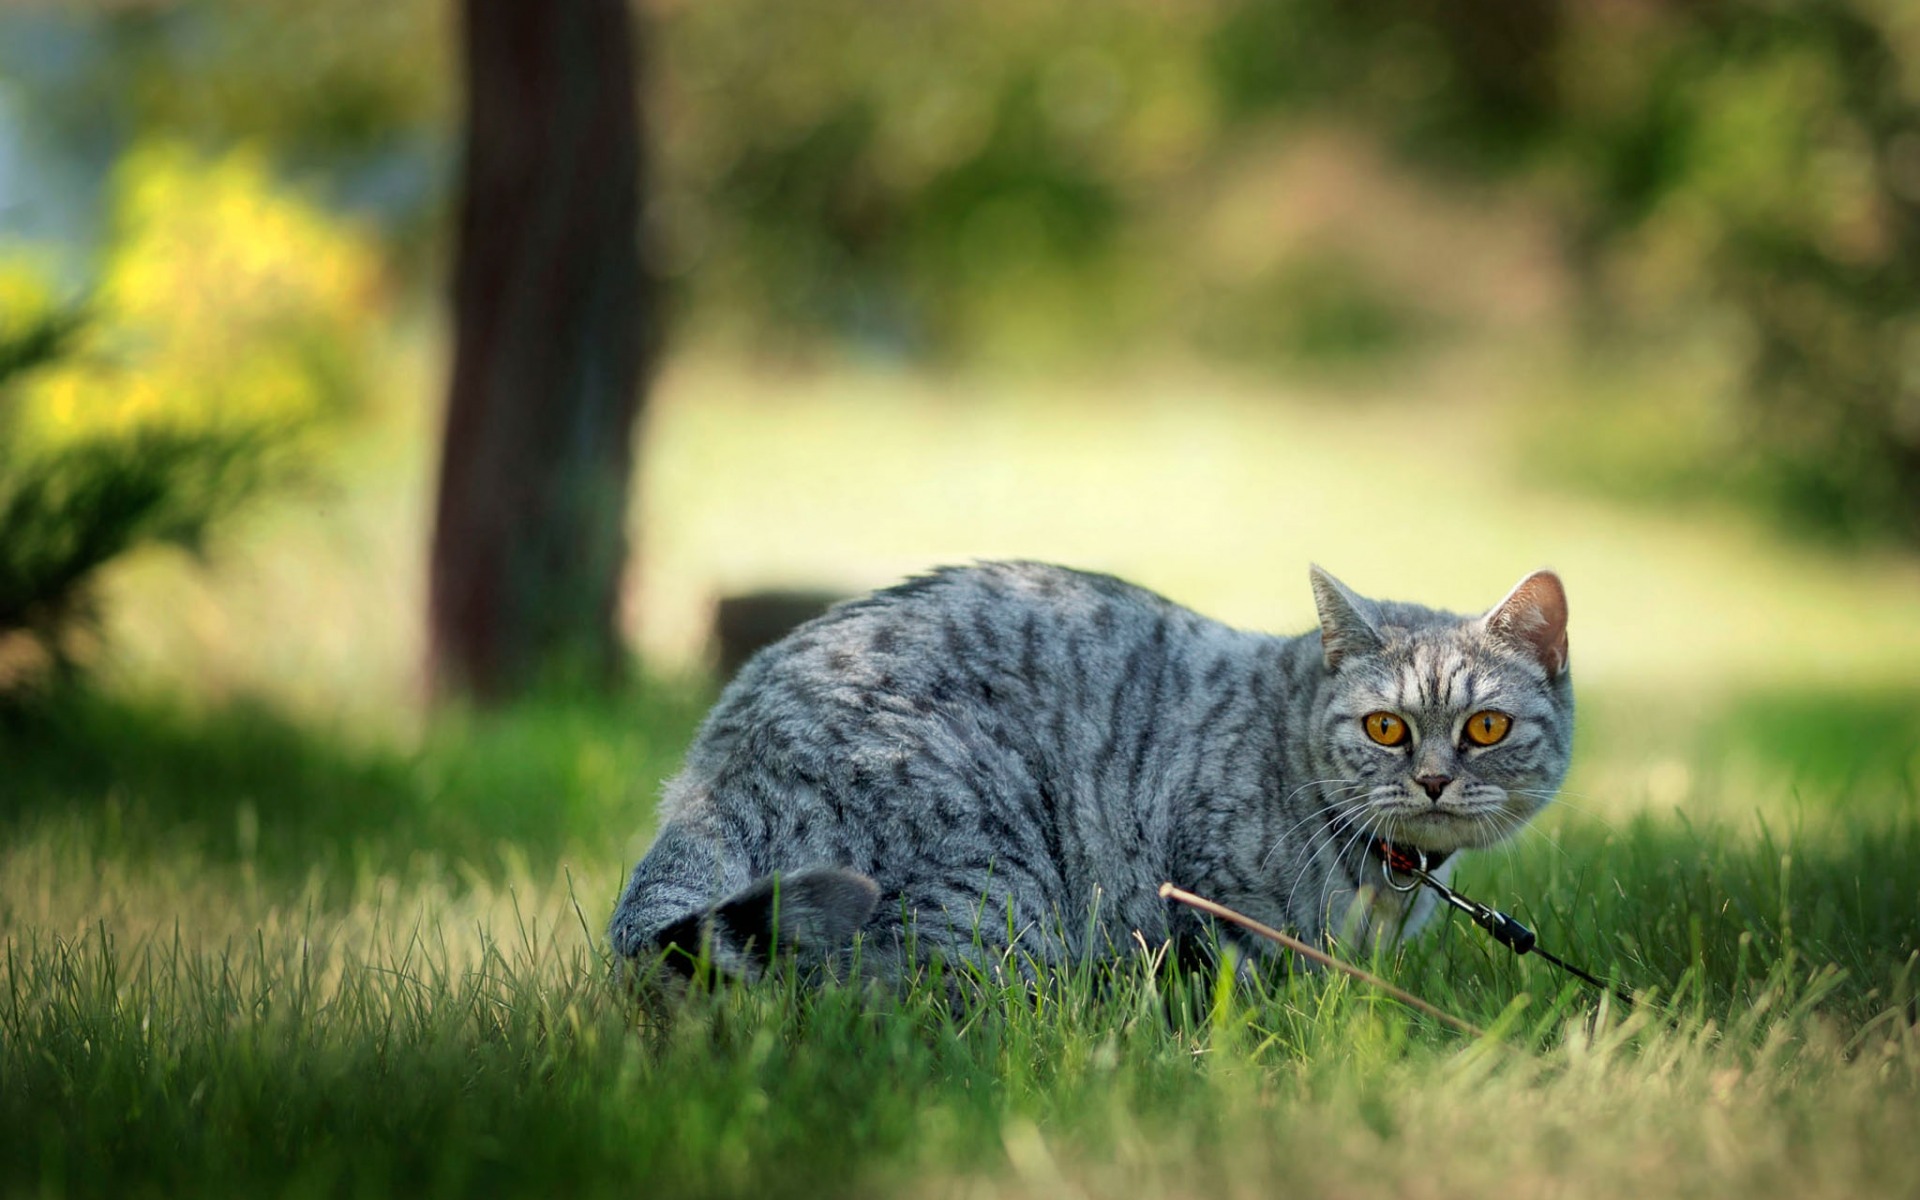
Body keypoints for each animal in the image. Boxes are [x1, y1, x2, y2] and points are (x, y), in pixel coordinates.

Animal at [614, 560, 1574, 983]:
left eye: (1485, 727)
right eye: (1385, 728)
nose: (1434, 780)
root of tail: (720, 757)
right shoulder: (1207, 893)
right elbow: (1241, 987)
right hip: (994, 889)